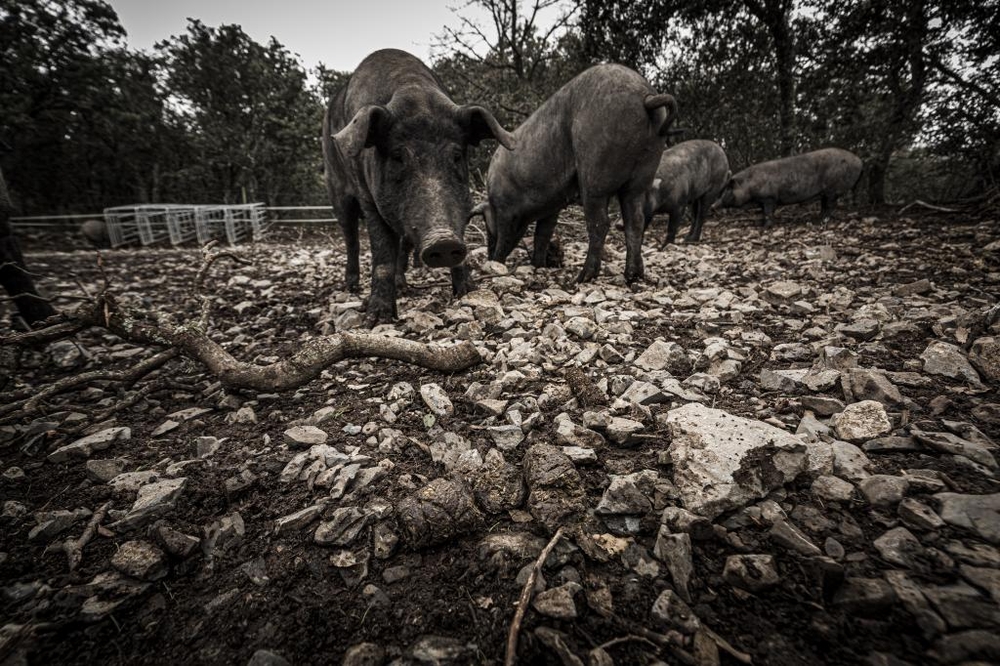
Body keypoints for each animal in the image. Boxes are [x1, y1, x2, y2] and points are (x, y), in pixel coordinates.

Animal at [324, 48, 516, 324]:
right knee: (351, 236)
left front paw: (469, 293)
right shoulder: (369, 200)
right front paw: (377, 319)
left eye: (456, 156)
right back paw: (352, 287)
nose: (443, 241)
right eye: (397, 156)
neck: (414, 92)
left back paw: (403, 285)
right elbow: (382, 254)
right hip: (337, 191)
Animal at [476, 61, 680, 280]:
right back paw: (633, 275)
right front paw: (538, 265)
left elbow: (507, 236)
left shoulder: (506, 209)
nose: (488, 256)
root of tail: (647, 98)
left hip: (595, 169)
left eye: (486, 225)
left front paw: (497, 264)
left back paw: (583, 277)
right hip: (643, 174)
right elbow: (542, 234)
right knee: (635, 220)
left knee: (600, 222)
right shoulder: (551, 207)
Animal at [716, 147, 864, 227]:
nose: (713, 205)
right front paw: (760, 223)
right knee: (825, 205)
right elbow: (764, 212)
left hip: (833, 189)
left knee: (831, 205)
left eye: (728, 189)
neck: (749, 185)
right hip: (826, 192)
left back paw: (822, 221)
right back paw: (817, 218)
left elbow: (768, 212)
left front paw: (765, 227)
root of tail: (860, 161)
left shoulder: (769, 197)